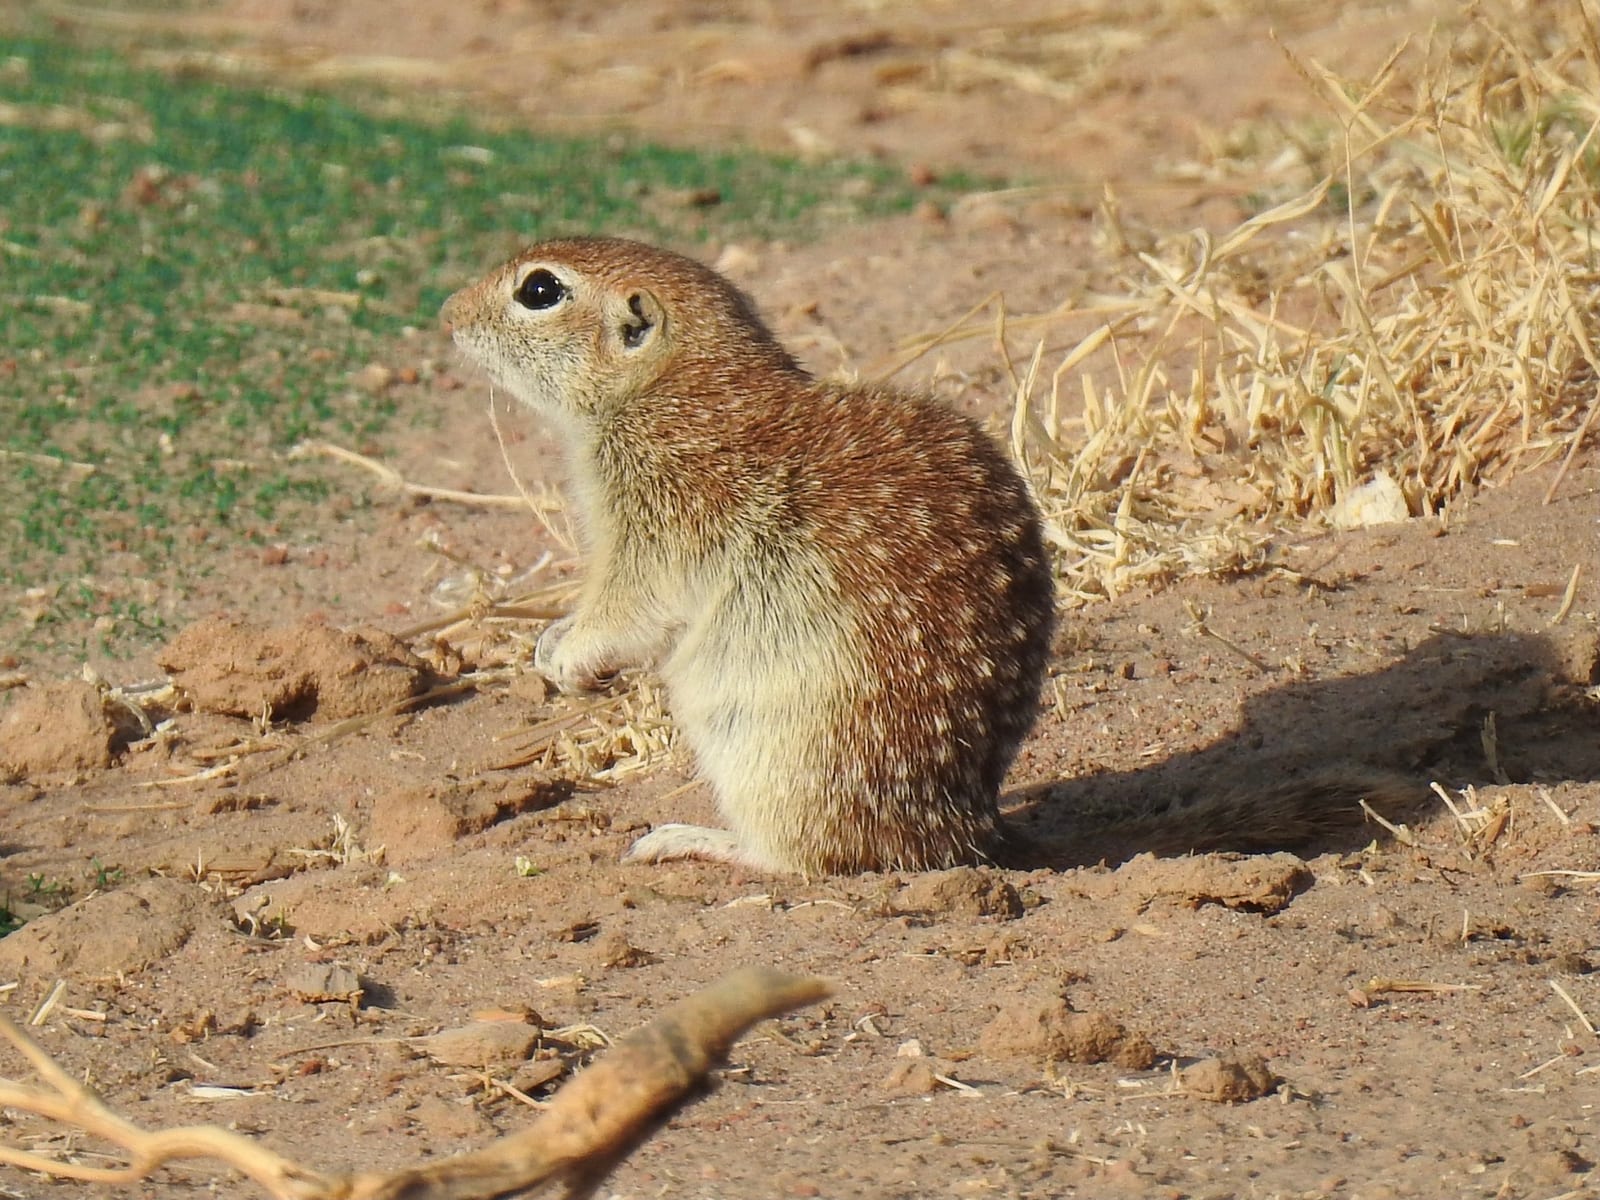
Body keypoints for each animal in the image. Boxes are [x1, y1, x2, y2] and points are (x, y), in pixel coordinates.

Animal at [441, 237, 1055, 874]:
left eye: (539, 290)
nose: (448, 313)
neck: (673, 390)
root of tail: (959, 831)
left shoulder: (662, 526)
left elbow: (629, 608)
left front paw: (569, 658)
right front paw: (550, 640)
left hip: (775, 762)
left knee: (799, 856)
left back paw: (686, 838)